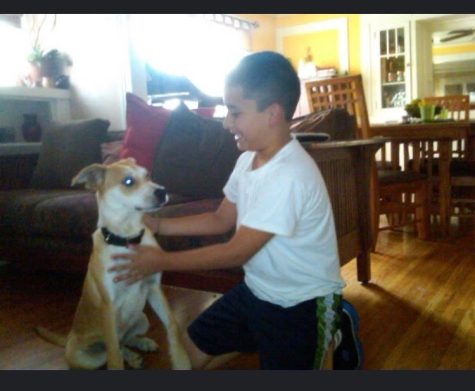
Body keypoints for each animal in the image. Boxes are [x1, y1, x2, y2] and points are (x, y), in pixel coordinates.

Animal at [35, 157, 192, 370]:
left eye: (148, 175)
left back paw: (141, 345)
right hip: (88, 358)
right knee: (112, 349)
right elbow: (114, 355)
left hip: (142, 318)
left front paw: (181, 359)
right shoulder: (108, 305)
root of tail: (68, 339)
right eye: (128, 181)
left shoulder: (154, 288)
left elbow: (173, 324)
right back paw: (132, 355)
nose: (162, 191)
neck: (127, 237)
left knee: (125, 340)